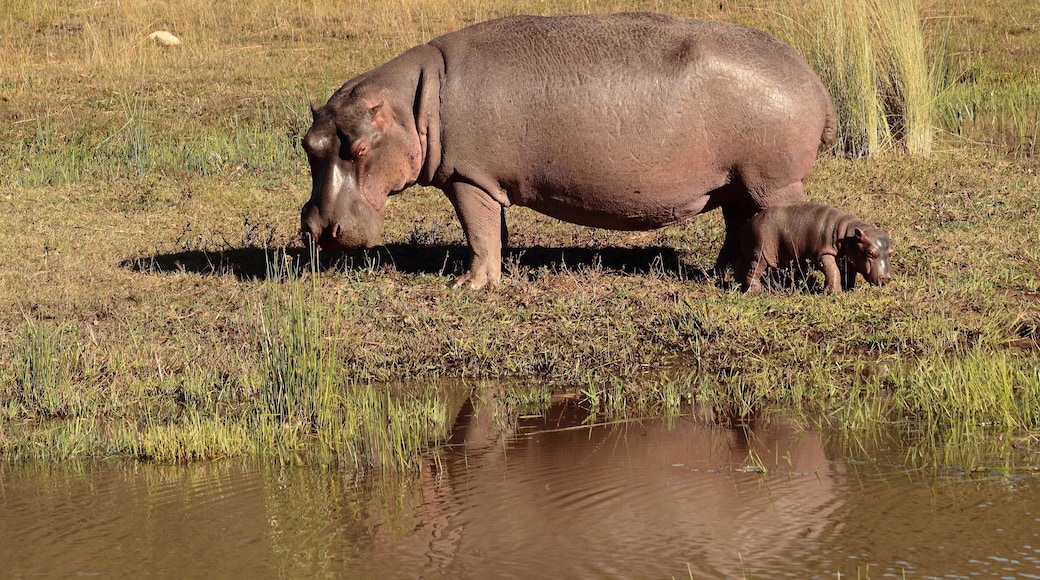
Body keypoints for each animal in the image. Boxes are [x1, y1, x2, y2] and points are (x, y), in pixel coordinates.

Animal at [300, 13, 835, 289]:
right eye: (308, 145)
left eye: (360, 147)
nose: (318, 230)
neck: (410, 107)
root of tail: (812, 77)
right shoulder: (486, 183)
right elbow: (493, 233)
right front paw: (501, 272)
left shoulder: (468, 178)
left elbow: (477, 234)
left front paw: (467, 288)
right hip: (734, 181)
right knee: (736, 225)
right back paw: (723, 275)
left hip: (772, 182)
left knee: (775, 222)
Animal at [733, 202, 893, 293]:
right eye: (870, 252)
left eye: (891, 252)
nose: (886, 278)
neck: (848, 235)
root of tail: (746, 224)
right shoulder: (823, 252)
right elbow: (832, 270)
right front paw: (834, 293)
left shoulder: (849, 257)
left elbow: (848, 273)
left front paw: (849, 290)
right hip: (760, 253)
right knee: (753, 270)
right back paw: (756, 291)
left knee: (740, 265)